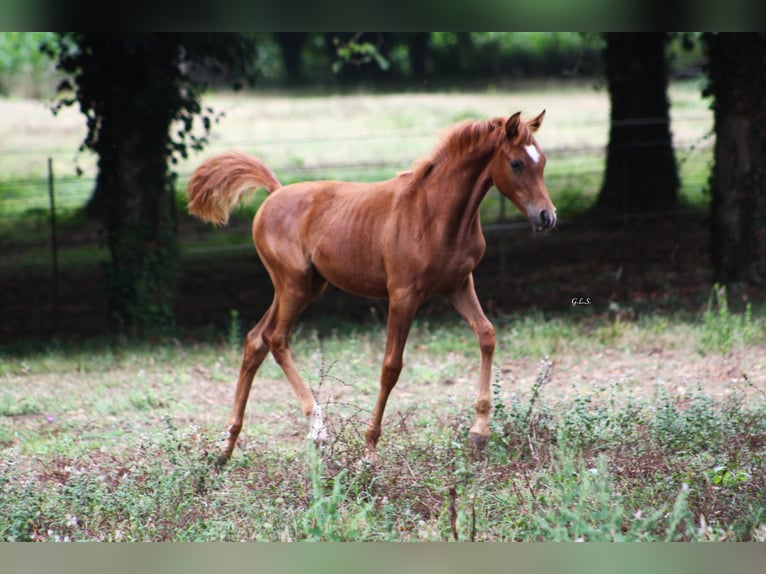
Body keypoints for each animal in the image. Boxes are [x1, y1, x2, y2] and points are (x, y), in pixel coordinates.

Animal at [188, 111, 556, 464]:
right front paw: (369, 451)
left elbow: (487, 335)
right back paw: (317, 430)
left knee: (254, 340)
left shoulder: (459, 285)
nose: (547, 217)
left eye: (543, 161)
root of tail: (275, 191)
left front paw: (479, 433)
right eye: (516, 163)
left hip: (307, 287)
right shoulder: (403, 295)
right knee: (274, 338)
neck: (435, 213)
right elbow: (391, 367)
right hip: (293, 284)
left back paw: (226, 446)